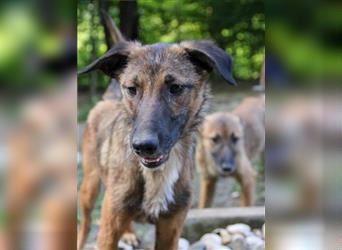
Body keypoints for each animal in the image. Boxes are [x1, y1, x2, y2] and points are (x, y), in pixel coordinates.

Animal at [76, 13, 236, 250]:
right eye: (132, 89)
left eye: (176, 88)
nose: (143, 146)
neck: (157, 174)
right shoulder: (108, 228)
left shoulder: (171, 228)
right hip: (90, 187)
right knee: (85, 223)